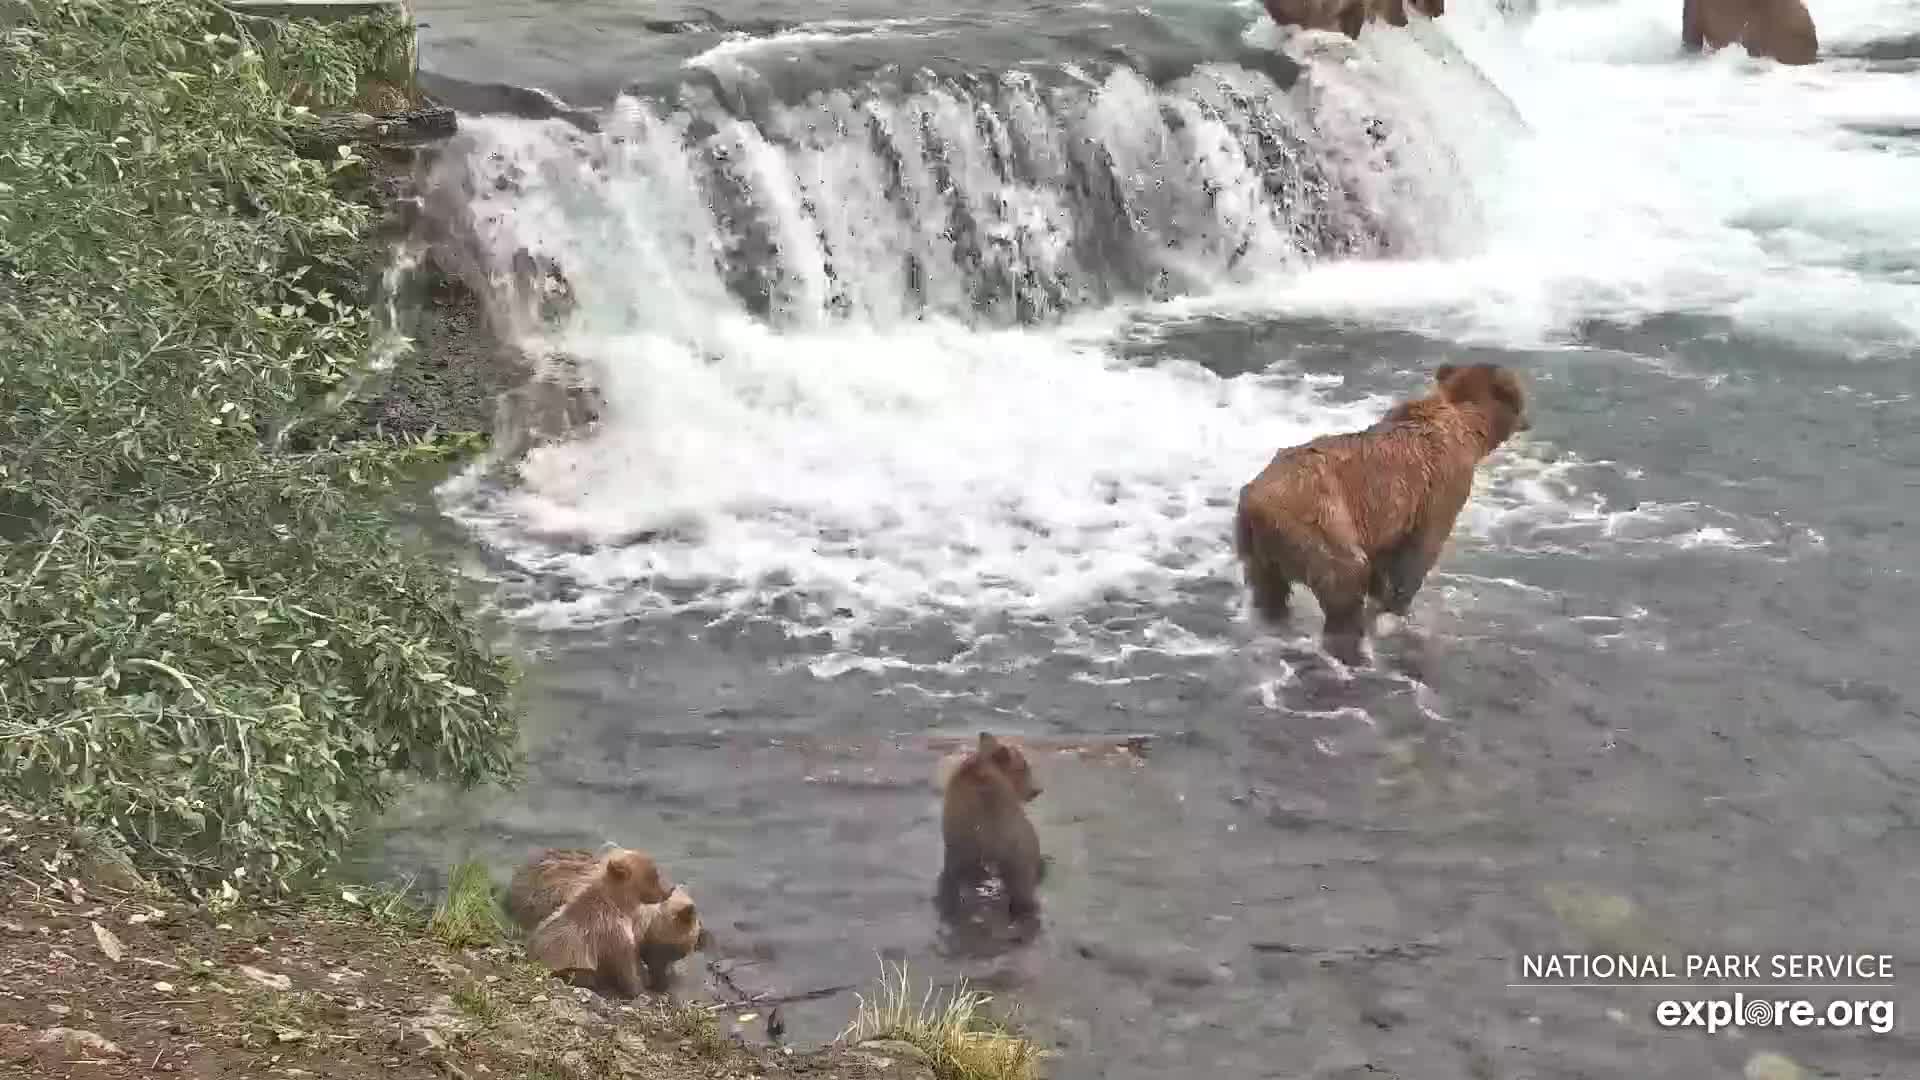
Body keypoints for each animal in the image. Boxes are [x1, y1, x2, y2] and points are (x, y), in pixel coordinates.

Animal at [520, 848, 675, 999]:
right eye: (654, 875)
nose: (670, 889)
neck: (620, 903)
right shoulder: (611, 932)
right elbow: (625, 965)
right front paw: (640, 990)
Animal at [1233, 362, 1530, 664]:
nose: (1528, 422)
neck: (1468, 425)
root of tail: (1253, 502)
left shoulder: (1384, 519)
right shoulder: (1440, 489)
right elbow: (1416, 557)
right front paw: (1395, 609)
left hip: (1260, 549)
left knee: (1269, 593)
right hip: (1317, 521)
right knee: (1345, 581)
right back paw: (1353, 650)